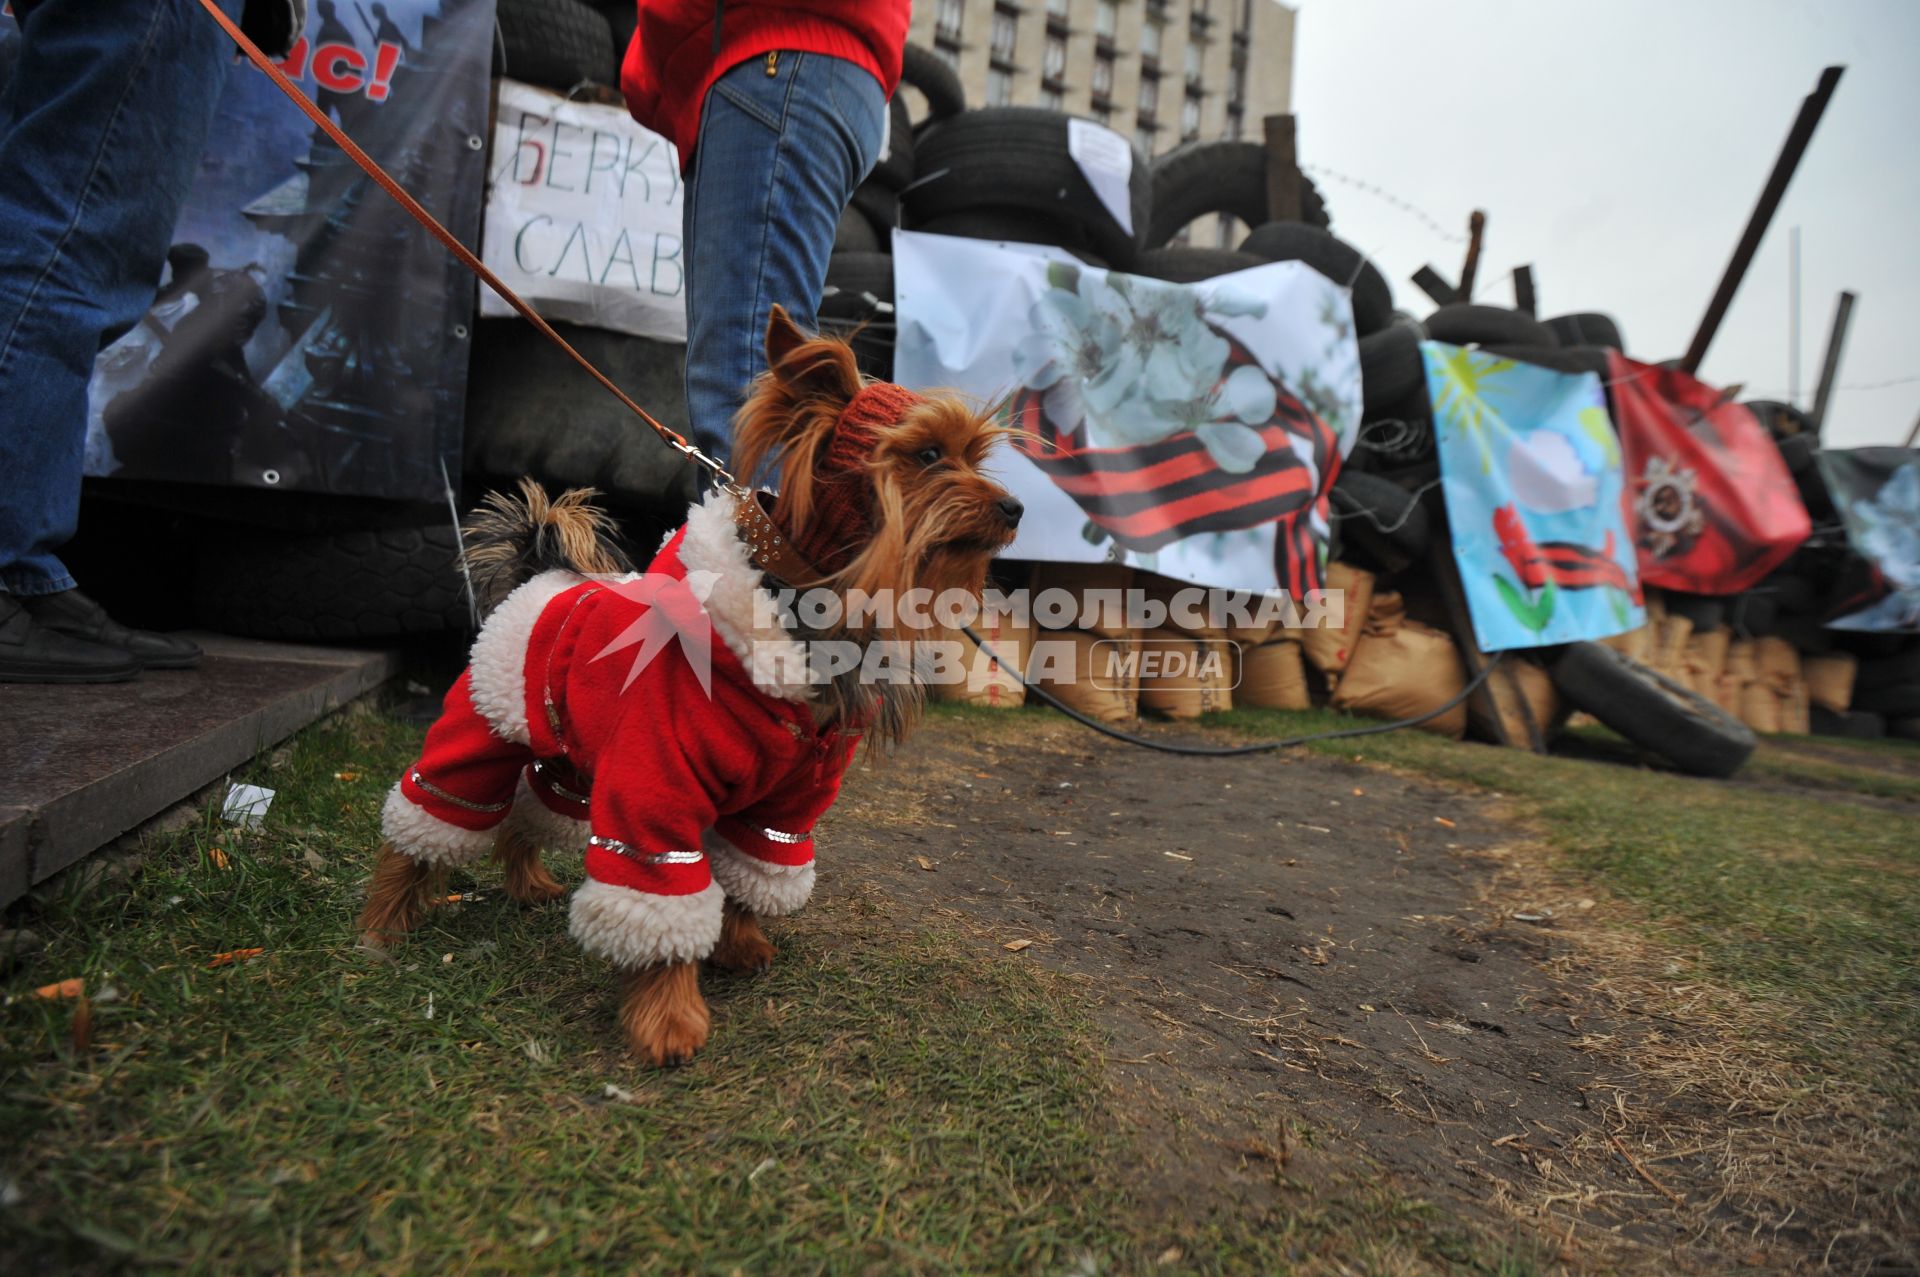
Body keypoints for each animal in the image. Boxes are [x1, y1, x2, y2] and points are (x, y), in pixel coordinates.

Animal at [359, 309, 1021, 1067]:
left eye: (976, 455)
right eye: (928, 454)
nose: (1014, 508)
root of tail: (541, 575)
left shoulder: (783, 807)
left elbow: (752, 871)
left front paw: (740, 944)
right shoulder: (655, 791)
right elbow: (660, 894)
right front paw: (669, 1018)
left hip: (568, 759)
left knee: (530, 814)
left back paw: (528, 884)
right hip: (482, 729)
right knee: (429, 815)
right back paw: (382, 925)